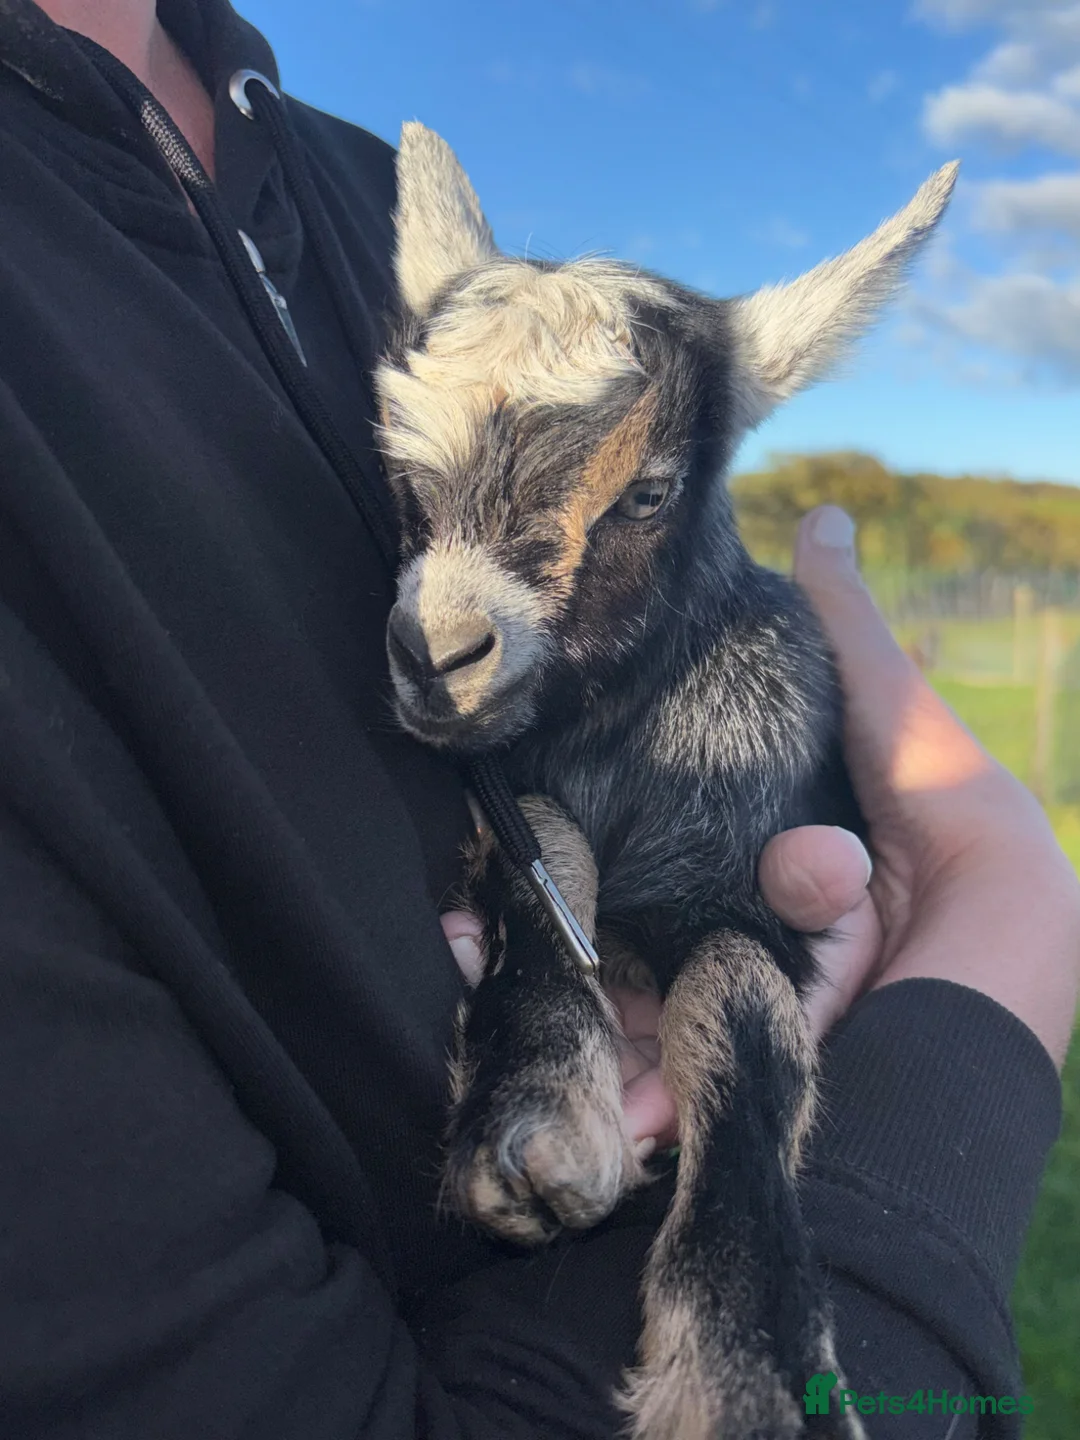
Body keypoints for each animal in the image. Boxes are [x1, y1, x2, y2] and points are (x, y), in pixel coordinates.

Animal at [375, 124, 956, 1440]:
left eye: (648, 492)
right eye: (407, 483)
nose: (435, 657)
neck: (624, 736)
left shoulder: (750, 874)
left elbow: (744, 1011)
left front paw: (752, 1369)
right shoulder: (515, 791)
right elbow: (546, 854)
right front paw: (536, 1119)